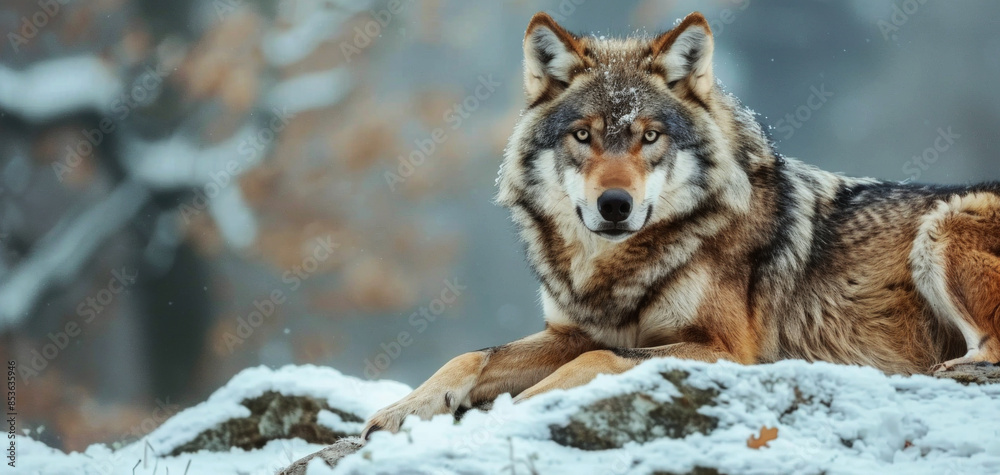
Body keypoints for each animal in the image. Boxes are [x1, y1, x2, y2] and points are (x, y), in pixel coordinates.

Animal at [362, 11, 1000, 438]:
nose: (614, 205)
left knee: (987, 351)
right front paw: (401, 410)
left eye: (650, 136)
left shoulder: (727, 350)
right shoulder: (570, 331)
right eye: (583, 135)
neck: (616, 270)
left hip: (945, 225)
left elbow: (597, 360)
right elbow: (473, 355)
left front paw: (522, 407)